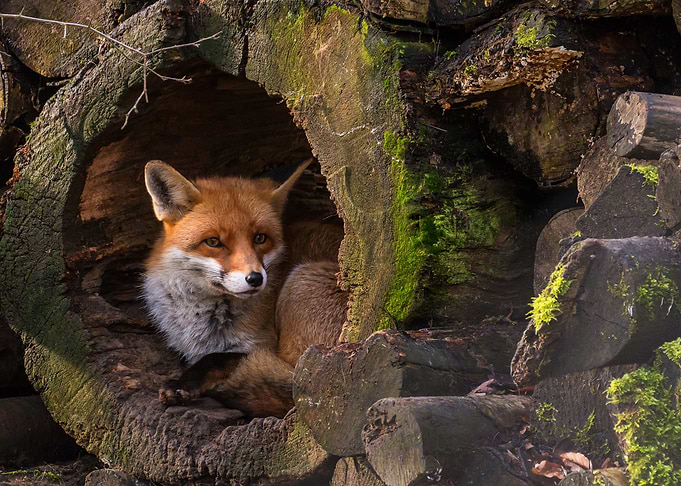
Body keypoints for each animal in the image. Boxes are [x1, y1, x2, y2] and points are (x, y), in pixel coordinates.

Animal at [142, 158, 348, 417]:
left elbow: (216, 358)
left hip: (301, 291)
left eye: (260, 238)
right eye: (213, 242)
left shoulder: (261, 345)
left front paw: (183, 383)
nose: (255, 278)